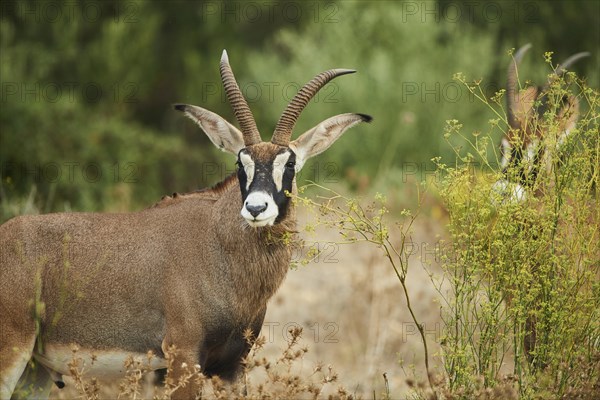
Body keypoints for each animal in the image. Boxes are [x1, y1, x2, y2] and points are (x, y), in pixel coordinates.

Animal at [0, 51, 372, 398]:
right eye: (240, 162)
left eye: (290, 162)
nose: (256, 208)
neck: (218, 243)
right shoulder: (183, 355)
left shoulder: (232, 365)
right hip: (12, 354)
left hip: (35, 370)